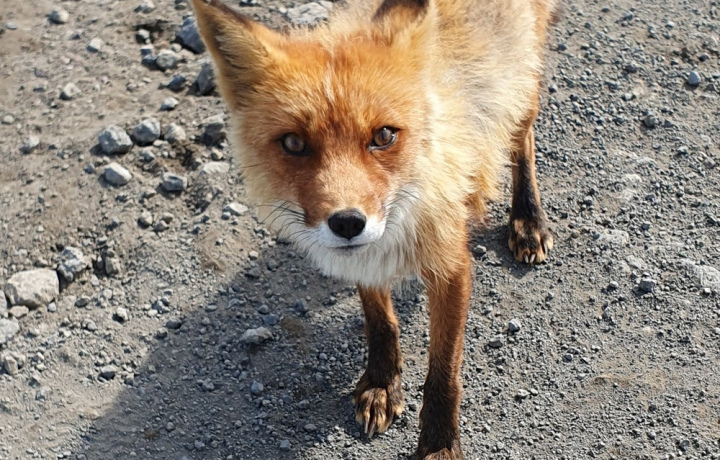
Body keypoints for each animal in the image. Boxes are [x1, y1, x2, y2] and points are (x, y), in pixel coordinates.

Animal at [190, 0, 557, 457]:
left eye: (383, 135)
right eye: (294, 143)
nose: (347, 222)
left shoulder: (451, 265)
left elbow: (444, 371)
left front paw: (438, 443)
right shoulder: (366, 257)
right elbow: (379, 320)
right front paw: (383, 384)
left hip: (521, 74)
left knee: (521, 138)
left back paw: (527, 218)